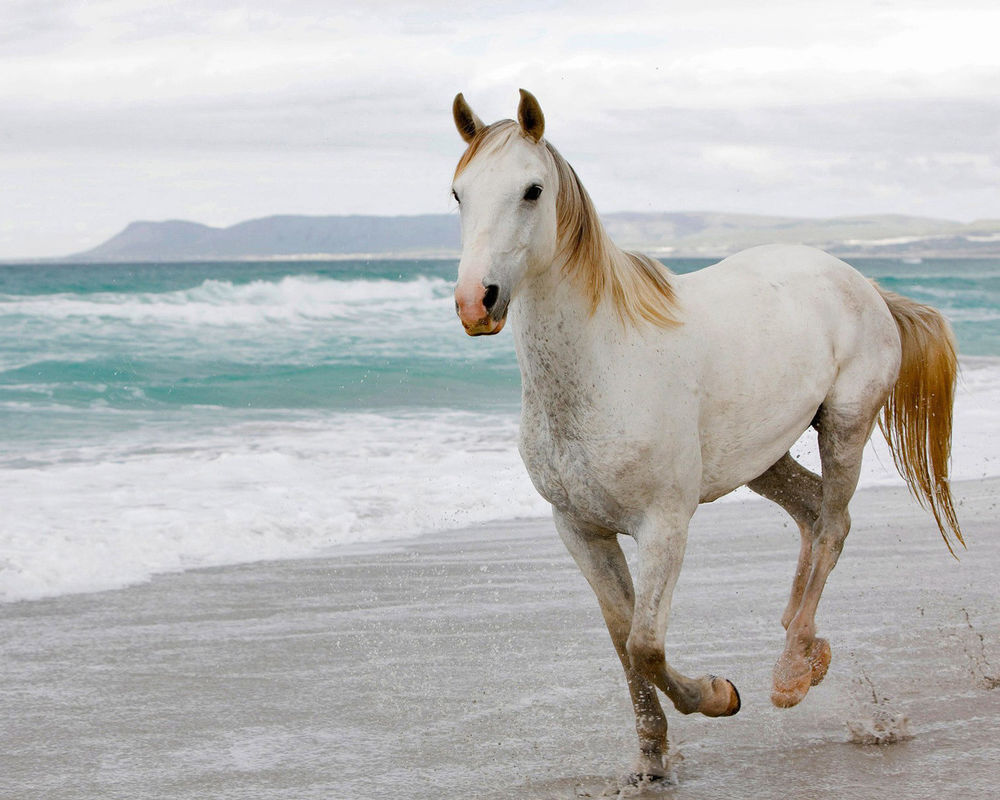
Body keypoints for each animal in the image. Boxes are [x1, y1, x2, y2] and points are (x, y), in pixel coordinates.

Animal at [450, 90, 956, 784]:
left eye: (531, 190)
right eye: (459, 193)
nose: (477, 301)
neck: (605, 363)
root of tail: (861, 282)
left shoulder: (665, 525)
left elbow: (645, 644)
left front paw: (720, 695)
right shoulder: (579, 529)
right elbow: (623, 641)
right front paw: (650, 760)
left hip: (845, 427)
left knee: (833, 525)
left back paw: (791, 672)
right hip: (763, 457)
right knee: (813, 513)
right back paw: (804, 645)